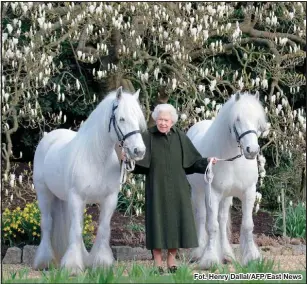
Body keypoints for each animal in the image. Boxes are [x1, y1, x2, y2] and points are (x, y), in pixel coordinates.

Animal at [32, 86, 147, 272]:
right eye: (121, 119)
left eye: (138, 120)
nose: (139, 151)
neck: (96, 157)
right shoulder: (77, 198)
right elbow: (76, 230)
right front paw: (72, 266)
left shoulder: (109, 199)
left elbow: (103, 229)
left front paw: (101, 262)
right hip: (44, 194)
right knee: (47, 224)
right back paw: (44, 261)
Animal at [186, 91, 268, 268]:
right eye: (237, 119)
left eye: (257, 120)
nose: (252, 150)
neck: (232, 160)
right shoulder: (213, 194)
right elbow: (212, 226)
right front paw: (209, 259)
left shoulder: (249, 192)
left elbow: (247, 225)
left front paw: (252, 257)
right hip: (198, 192)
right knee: (202, 218)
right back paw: (198, 253)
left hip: (226, 196)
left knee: (222, 221)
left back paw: (227, 255)